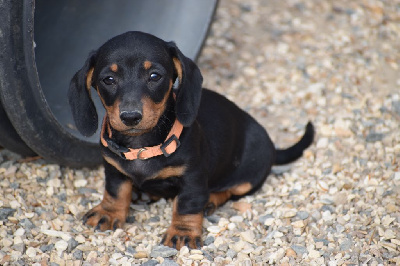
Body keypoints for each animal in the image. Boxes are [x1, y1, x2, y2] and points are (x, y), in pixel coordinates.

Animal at [68, 31, 312, 249]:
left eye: (154, 76)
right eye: (108, 80)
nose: (130, 116)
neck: (142, 146)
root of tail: (272, 147)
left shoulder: (192, 178)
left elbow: (187, 205)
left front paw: (183, 232)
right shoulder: (113, 169)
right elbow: (115, 191)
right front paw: (108, 212)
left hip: (249, 176)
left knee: (230, 190)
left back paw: (210, 200)